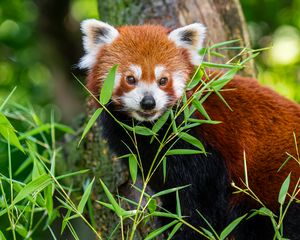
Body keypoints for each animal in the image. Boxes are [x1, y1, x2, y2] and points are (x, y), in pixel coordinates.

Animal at [78, 19, 298, 240]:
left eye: (163, 80)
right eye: (130, 79)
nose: (148, 102)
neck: (155, 129)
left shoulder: (202, 146)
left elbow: (199, 200)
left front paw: (183, 227)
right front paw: (168, 218)